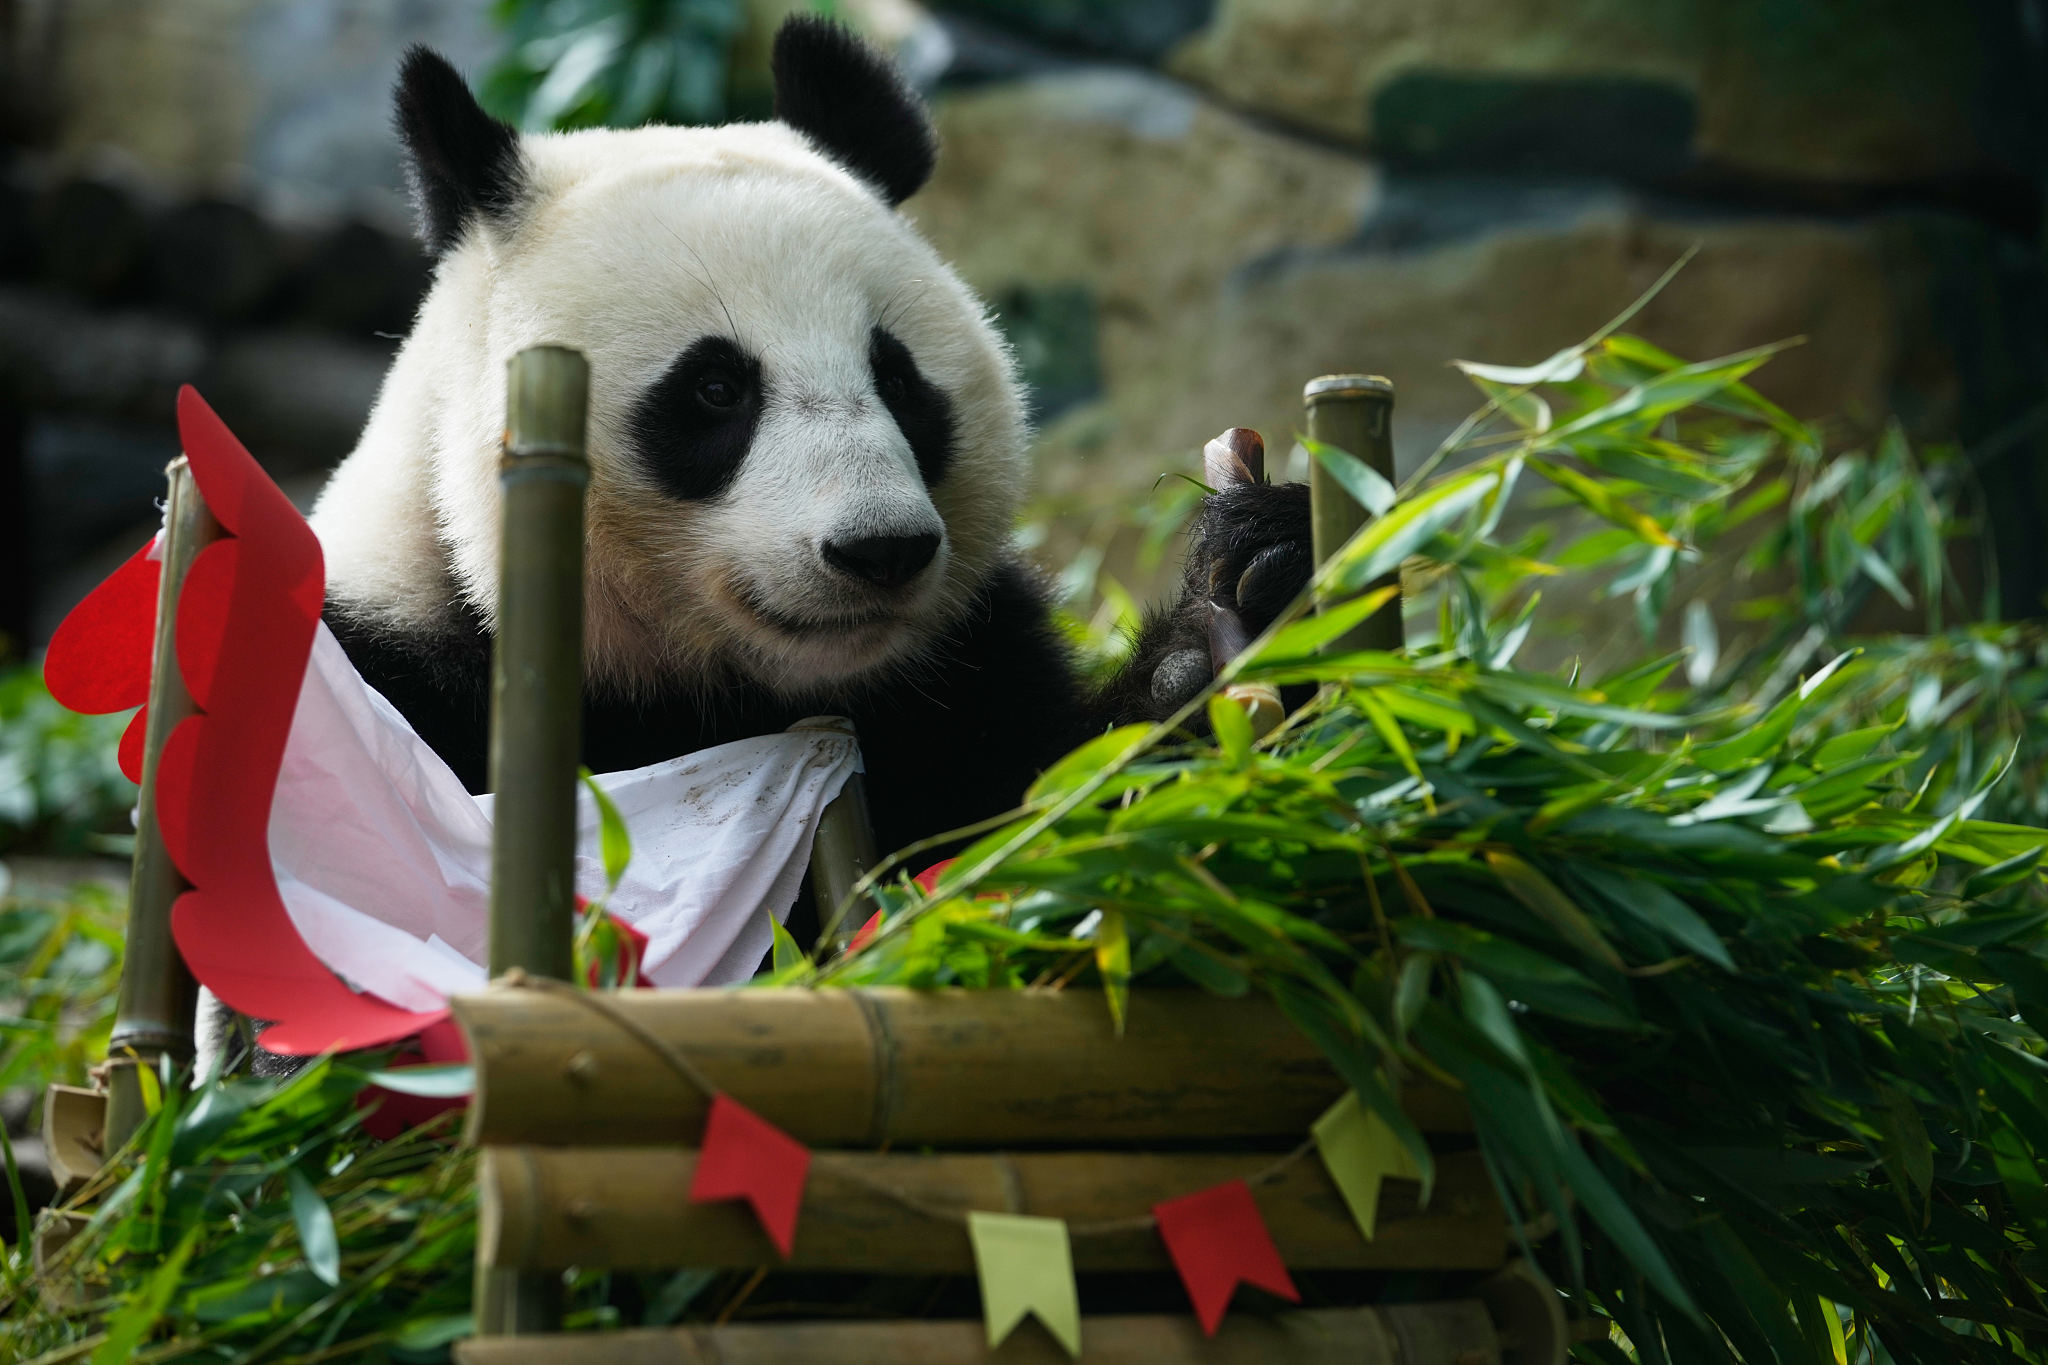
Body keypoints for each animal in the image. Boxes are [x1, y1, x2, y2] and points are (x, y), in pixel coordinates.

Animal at [311, 18, 1315, 888]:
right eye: (716, 389)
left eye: (899, 379)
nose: (881, 549)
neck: (747, 698)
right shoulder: (398, 680)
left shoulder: (969, 666)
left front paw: (1249, 590)